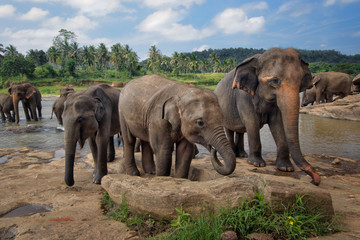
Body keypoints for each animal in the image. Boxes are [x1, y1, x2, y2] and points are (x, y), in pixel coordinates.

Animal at [214, 47, 320, 186]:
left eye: (301, 80)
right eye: (274, 81)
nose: (315, 180)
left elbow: (277, 123)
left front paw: (286, 168)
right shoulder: (243, 96)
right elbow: (251, 122)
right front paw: (257, 164)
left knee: (240, 131)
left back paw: (242, 155)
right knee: (230, 130)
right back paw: (236, 154)